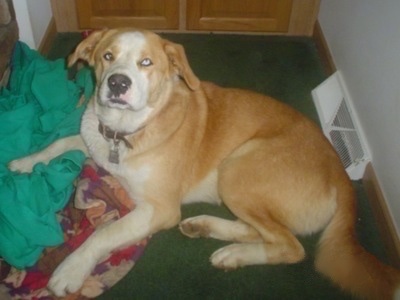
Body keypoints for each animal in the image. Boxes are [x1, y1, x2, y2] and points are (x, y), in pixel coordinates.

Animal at [8, 28, 400, 300]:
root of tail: (340, 170)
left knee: (290, 247)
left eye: (146, 63)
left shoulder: (160, 209)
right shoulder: (93, 140)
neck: (125, 132)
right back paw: (208, 230)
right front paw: (25, 163)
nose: (117, 83)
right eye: (107, 55)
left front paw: (71, 270)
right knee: (262, 231)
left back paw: (235, 254)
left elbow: (104, 233)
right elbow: (60, 142)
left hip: (238, 168)